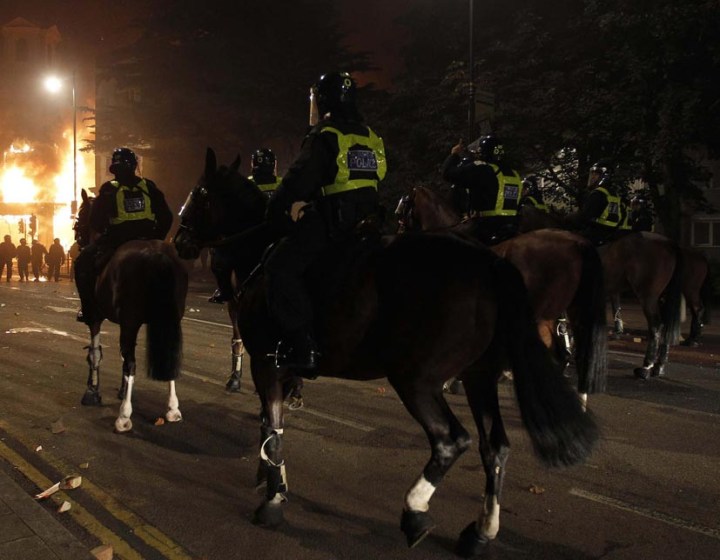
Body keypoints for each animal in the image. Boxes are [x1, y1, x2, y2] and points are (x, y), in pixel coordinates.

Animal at [73, 189, 188, 433]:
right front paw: (122, 390)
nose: (78, 237)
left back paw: (124, 417)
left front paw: (92, 392)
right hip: (168, 319)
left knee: (131, 363)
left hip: (130, 319)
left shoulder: (96, 318)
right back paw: (173, 409)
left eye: (81, 214)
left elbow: (95, 354)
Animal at [517, 203, 683, 379]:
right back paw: (659, 366)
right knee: (665, 327)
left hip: (648, 297)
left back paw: (646, 367)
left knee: (656, 327)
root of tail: (670, 243)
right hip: (663, 297)